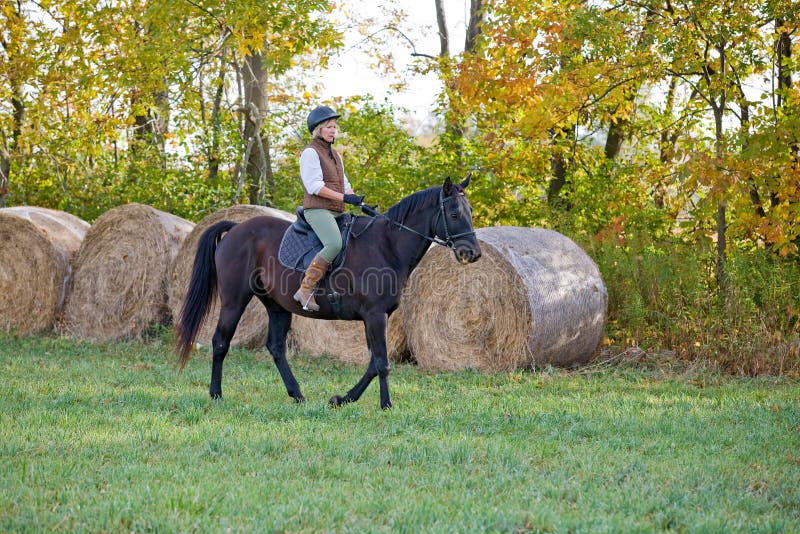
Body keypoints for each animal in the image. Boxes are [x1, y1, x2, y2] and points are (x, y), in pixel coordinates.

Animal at [174, 176, 481, 409]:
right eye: (454, 214)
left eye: (469, 212)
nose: (473, 254)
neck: (387, 245)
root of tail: (236, 227)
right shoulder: (375, 316)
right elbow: (381, 363)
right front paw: (386, 405)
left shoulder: (374, 318)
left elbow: (373, 363)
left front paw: (343, 399)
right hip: (234, 301)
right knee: (220, 342)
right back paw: (216, 394)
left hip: (276, 306)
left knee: (276, 347)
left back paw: (297, 395)